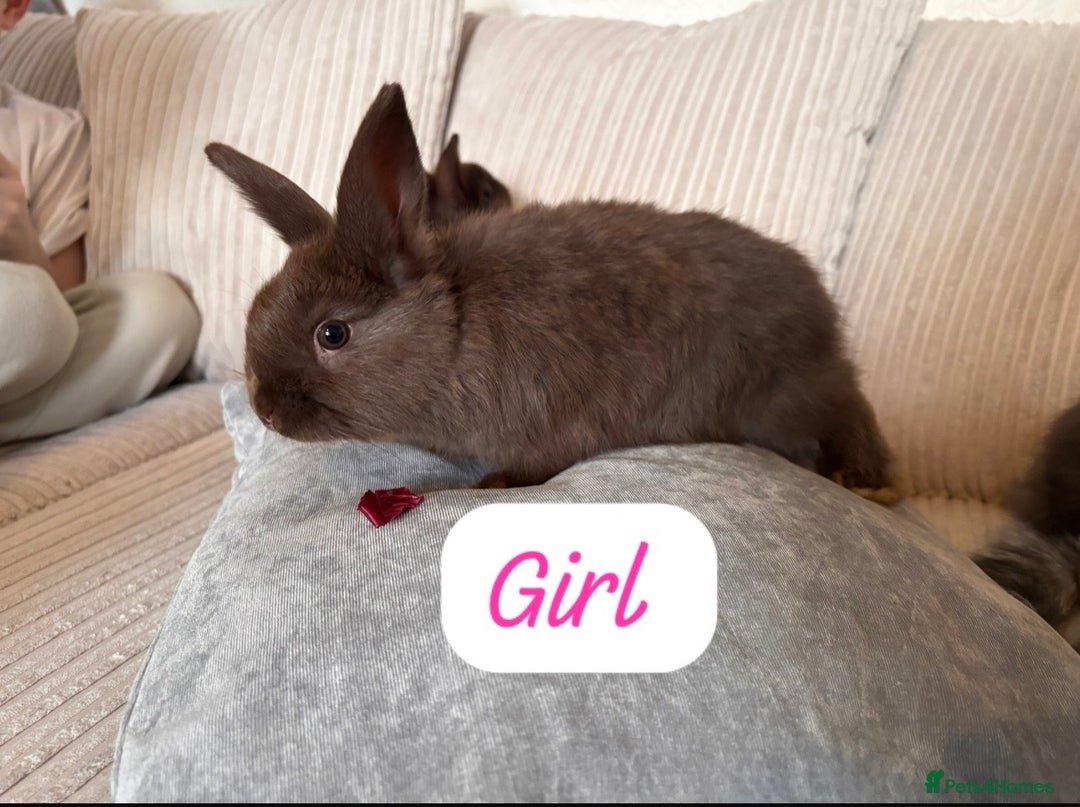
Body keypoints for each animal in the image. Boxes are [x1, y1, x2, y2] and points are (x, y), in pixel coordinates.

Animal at [205, 83, 895, 501]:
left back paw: (865, 479)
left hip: (789, 396)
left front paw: (486, 488)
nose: (265, 410)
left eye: (333, 333)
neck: (455, 327)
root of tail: (821, 307)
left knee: (851, 409)